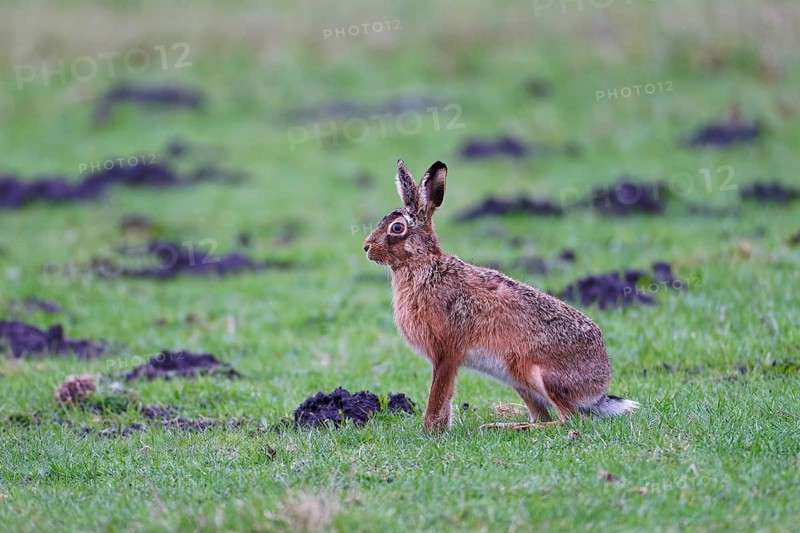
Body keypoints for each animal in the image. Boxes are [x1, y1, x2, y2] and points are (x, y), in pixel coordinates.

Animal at [363, 160, 639, 432]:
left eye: (397, 228)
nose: (366, 247)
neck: (422, 266)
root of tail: (598, 388)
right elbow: (446, 398)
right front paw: (440, 429)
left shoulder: (445, 354)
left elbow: (438, 394)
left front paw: (429, 431)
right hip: (518, 379)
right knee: (543, 416)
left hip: (539, 374)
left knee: (569, 419)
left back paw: (503, 426)